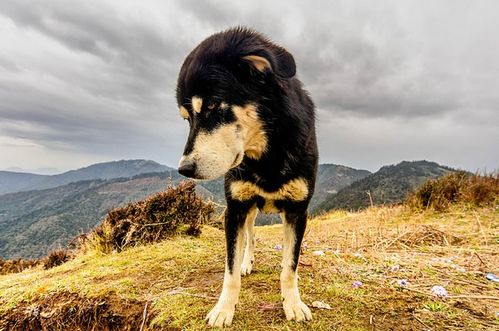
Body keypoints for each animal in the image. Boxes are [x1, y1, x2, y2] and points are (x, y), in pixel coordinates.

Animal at [174, 26, 318, 326]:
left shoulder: (298, 211)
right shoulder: (236, 209)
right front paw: (224, 309)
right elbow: (229, 271)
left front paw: (292, 303)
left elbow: (290, 266)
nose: (184, 169)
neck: (266, 155)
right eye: (186, 119)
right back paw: (246, 262)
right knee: (250, 236)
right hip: (249, 210)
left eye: (212, 106)